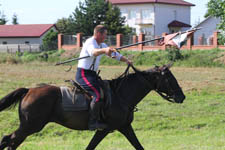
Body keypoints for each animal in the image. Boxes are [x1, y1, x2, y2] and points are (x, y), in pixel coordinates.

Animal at [0, 64, 185, 149]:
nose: (182, 96)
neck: (120, 95)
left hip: (28, 127)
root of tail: (29, 90)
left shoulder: (125, 127)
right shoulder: (104, 129)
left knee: (11, 141)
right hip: (31, 126)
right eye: (170, 78)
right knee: (8, 139)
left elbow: (138, 146)